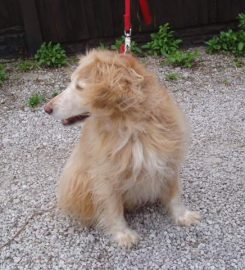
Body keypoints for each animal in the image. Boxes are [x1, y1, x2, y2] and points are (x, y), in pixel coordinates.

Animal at [44, 49, 201, 248]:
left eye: (79, 87)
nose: (46, 108)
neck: (131, 125)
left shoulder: (168, 159)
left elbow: (174, 194)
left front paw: (183, 216)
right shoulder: (105, 175)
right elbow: (113, 207)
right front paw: (123, 234)